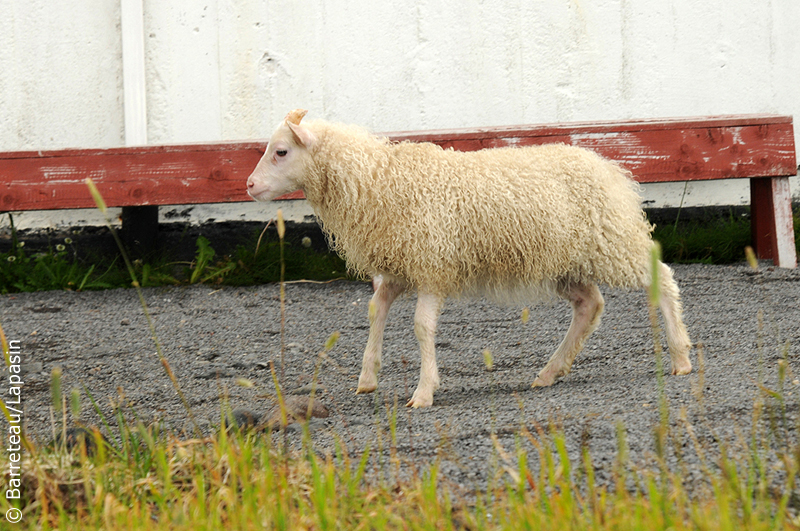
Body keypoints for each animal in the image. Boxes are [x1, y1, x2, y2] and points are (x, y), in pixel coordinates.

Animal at [247, 108, 692, 408]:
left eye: (281, 151)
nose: (249, 185)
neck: (379, 180)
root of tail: (607, 165)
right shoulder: (398, 266)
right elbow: (376, 311)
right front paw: (368, 376)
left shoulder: (431, 264)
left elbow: (422, 327)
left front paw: (424, 390)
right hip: (566, 261)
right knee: (590, 304)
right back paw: (550, 371)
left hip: (613, 242)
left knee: (663, 279)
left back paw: (681, 357)